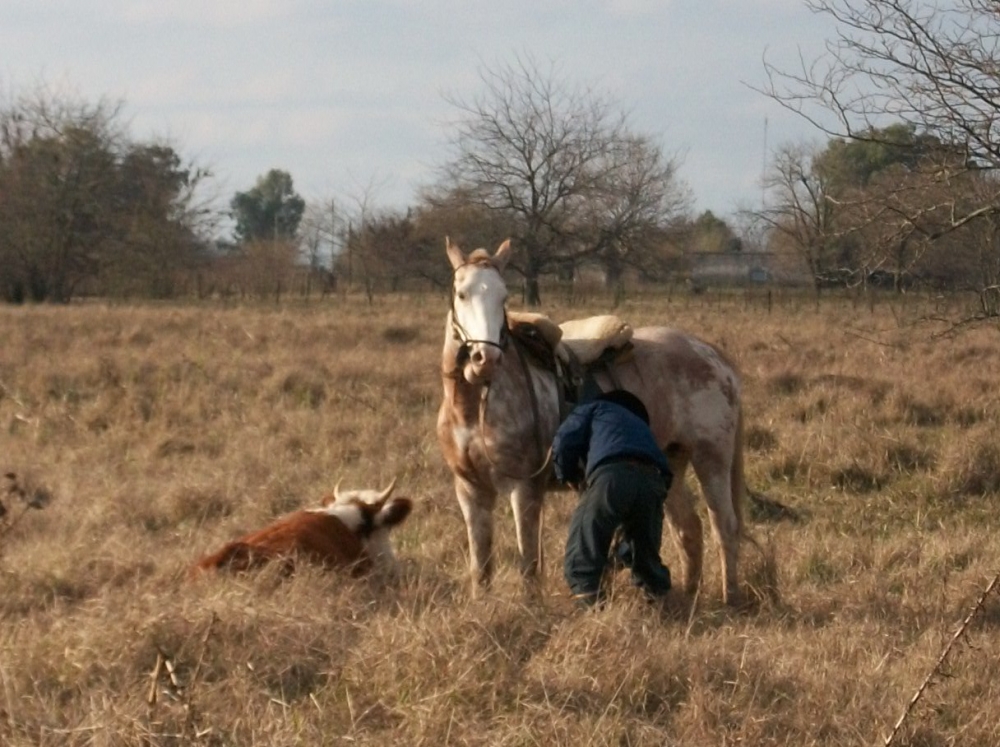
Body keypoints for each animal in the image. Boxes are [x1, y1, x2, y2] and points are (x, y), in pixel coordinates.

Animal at [434, 240, 748, 608]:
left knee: (723, 527)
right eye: (462, 294)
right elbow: (480, 564)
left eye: (504, 297)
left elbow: (528, 560)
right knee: (689, 530)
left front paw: (531, 608)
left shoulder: (523, 488)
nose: (486, 360)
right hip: (670, 463)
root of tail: (711, 354)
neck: (475, 409)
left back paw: (730, 599)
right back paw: (687, 597)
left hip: (711, 459)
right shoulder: (470, 490)